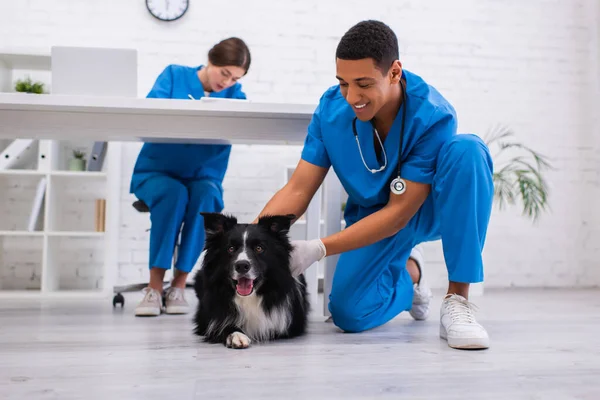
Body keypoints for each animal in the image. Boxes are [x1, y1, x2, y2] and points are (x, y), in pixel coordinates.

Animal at [193, 214, 310, 348]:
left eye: (259, 248)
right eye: (231, 248)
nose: (242, 265)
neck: (249, 298)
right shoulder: (207, 320)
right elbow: (221, 324)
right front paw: (236, 335)